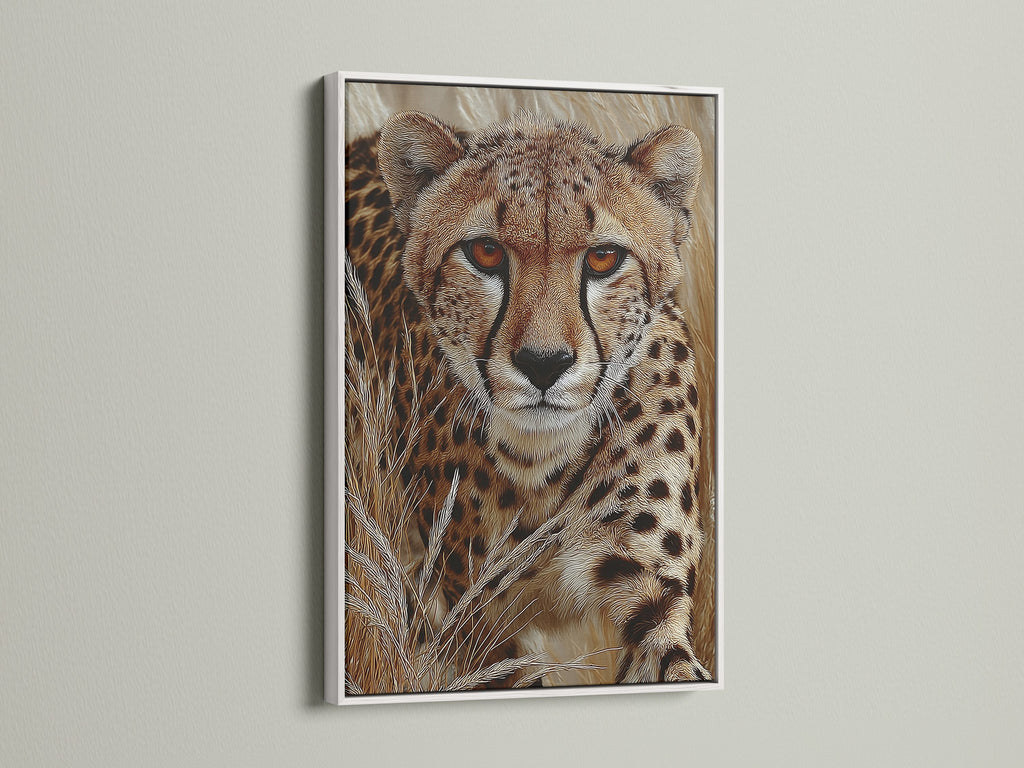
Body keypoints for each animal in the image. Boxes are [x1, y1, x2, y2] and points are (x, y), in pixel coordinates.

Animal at [345, 109, 712, 688]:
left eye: (603, 258)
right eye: (486, 252)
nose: (544, 363)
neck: (543, 467)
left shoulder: (653, 598)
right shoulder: (479, 627)